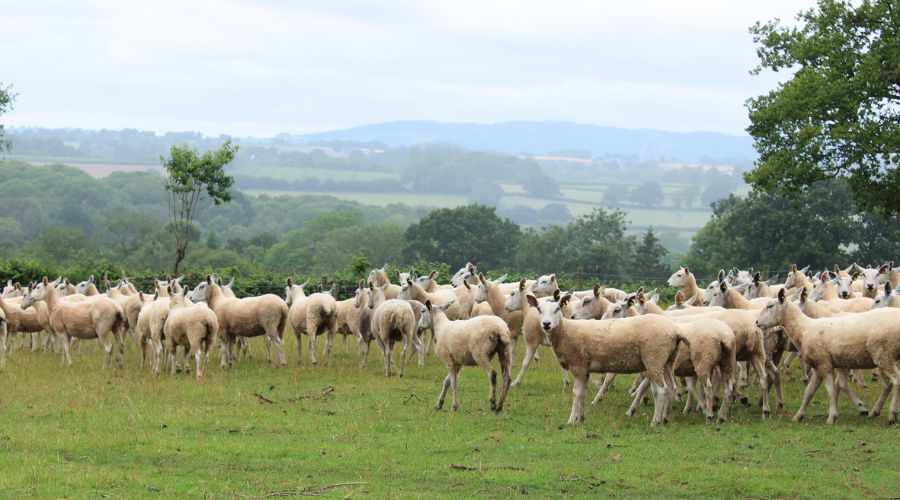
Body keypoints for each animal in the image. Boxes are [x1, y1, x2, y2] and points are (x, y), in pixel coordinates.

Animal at [529, 294, 686, 426]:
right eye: (538, 309)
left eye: (557, 309)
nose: (546, 324)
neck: (566, 331)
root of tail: (674, 331)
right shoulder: (585, 369)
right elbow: (583, 393)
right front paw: (580, 418)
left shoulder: (578, 365)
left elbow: (576, 393)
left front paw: (572, 420)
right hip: (667, 361)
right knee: (671, 388)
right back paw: (665, 419)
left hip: (654, 359)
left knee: (661, 390)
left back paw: (655, 422)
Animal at [756, 288, 900, 424]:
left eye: (770, 306)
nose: (757, 322)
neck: (804, 328)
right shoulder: (818, 366)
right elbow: (809, 392)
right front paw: (798, 416)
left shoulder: (824, 364)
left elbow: (830, 390)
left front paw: (832, 417)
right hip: (884, 357)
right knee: (888, 384)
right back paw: (875, 411)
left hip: (885, 356)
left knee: (896, 381)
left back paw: (892, 414)